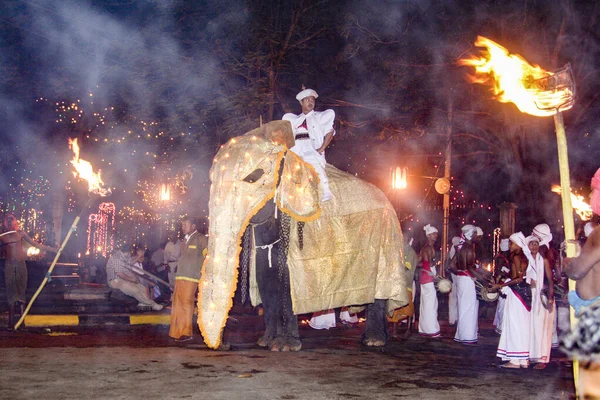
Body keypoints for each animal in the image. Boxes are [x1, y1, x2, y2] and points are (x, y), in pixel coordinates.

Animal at [197, 119, 408, 350]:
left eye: (253, 178)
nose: (224, 345)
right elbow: (264, 275)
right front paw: (265, 342)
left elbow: (286, 279)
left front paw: (284, 346)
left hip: (386, 237)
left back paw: (373, 341)